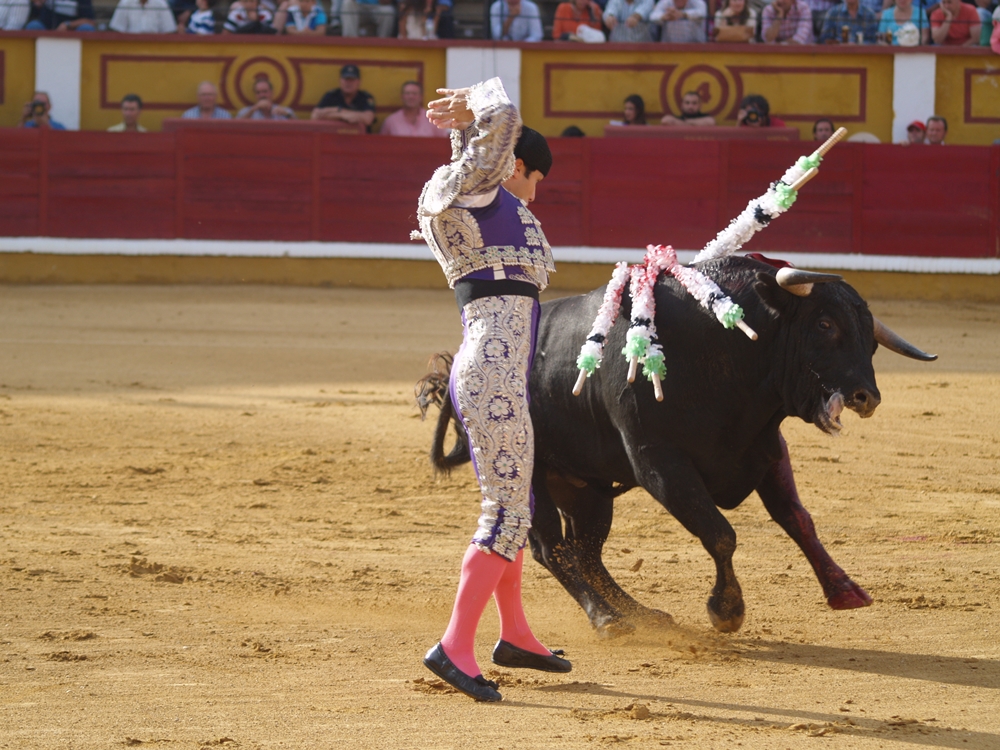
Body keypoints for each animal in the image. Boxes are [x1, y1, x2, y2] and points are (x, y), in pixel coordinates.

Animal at [418, 256, 932, 636]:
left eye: (870, 337)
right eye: (825, 323)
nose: (866, 396)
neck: (726, 349)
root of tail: (457, 366)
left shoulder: (764, 449)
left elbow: (797, 518)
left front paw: (845, 590)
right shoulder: (659, 462)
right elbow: (721, 533)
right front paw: (726, 611)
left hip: (587, 488)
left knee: (587, 549)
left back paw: (639, 613)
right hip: (528, 477)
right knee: (552, 549)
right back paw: (606, 619)